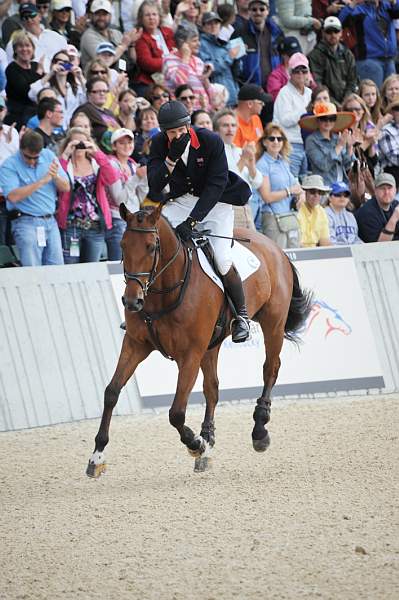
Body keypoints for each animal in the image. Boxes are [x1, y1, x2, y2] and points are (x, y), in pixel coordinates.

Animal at [86, 206, 314, 478]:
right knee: (212, 389)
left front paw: (196, 444)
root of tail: (274, 246)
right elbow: (111, 392)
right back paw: (209, 439)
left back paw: (258, 430)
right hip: (211, 346)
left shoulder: (190, 355)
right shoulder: (135, 344)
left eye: (151, 247)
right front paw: (97, 456)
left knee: (270, 369)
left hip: (273, 324)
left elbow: (176, 413)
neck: (164, 291)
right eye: (122, 245)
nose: (132, 301)